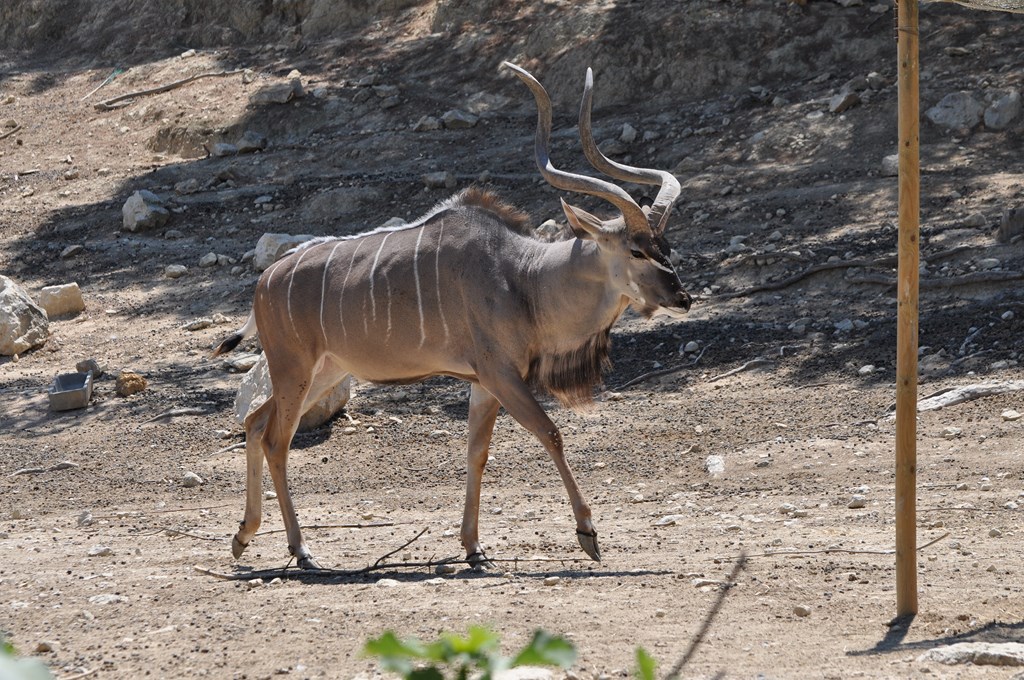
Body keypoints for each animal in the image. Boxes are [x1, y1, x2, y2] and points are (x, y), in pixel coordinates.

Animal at [212, 62, 691, 570]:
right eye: (636, 250)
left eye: (665, 245)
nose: (683, 298)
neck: (523, 276)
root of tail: (265, 282)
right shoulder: (501, 375)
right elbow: (550, 432)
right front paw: (587, 533)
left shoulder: (483, 382)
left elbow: (477, 452)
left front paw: (474, 548)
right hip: (295, 370)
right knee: (275, 440)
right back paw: (302, 551)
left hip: (323, 372)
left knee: (255, 423)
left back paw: (244, 536)